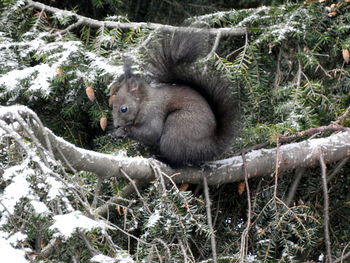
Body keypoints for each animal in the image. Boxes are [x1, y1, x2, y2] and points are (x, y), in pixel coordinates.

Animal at [109, 31, 241, 166]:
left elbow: (151, 132)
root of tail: (210, 147)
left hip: (177, 127)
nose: (116, 125)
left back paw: (162, 159)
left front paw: (123, 131)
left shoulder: (153, 112)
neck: (144, 102)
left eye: (124, 109)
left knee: (179, 161)